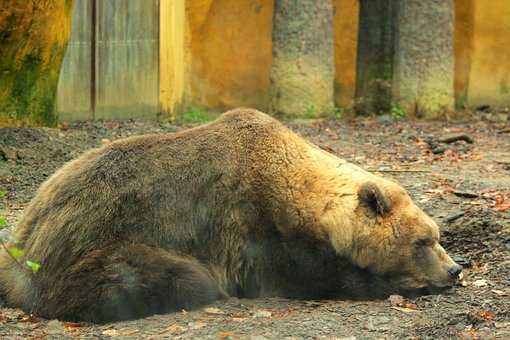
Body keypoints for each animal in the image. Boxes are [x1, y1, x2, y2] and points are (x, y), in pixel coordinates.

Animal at [0, 108, 462, 322]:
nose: (455, 270)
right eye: (423, 241)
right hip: (94, 245)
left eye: (437, 235)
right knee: (167, 275)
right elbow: (311, 275)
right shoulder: (256, 227)